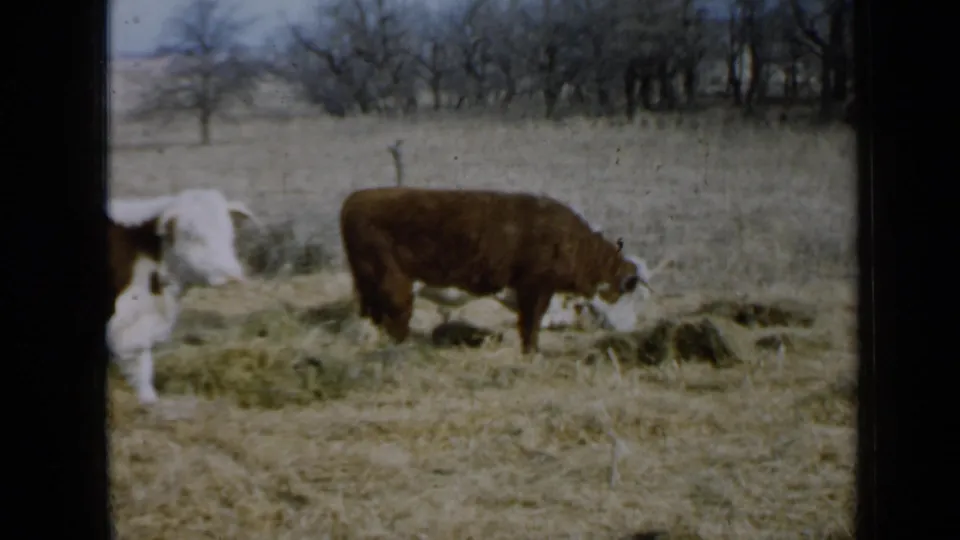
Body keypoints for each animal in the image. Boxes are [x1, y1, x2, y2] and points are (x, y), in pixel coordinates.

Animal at [339, 187, 649, 354]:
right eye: (631, 291)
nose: (631, 326)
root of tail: (358, 198)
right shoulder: (535, 287)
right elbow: (531, 325)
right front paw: (531, 353)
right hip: (393, 283)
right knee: (395, 322)